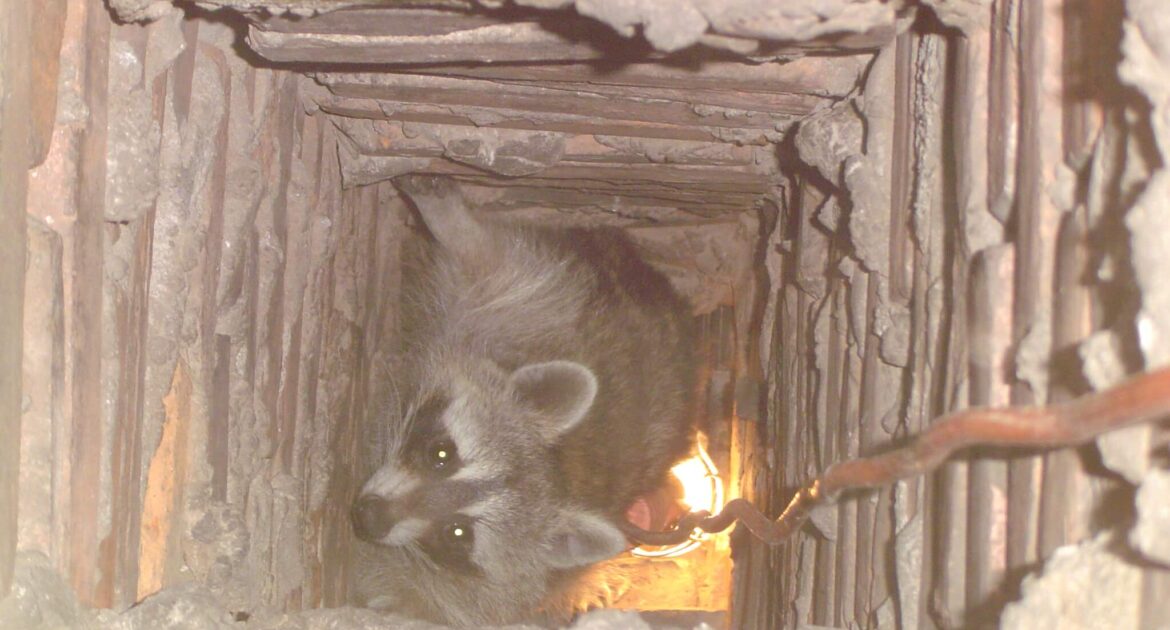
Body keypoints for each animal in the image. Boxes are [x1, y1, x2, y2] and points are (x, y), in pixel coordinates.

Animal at [346, 175, 692, 622]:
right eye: (441, 453)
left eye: (457, 533)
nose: (370, 518)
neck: (562, 465)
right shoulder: (539, 317)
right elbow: (489, 260)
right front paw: (451, 221)